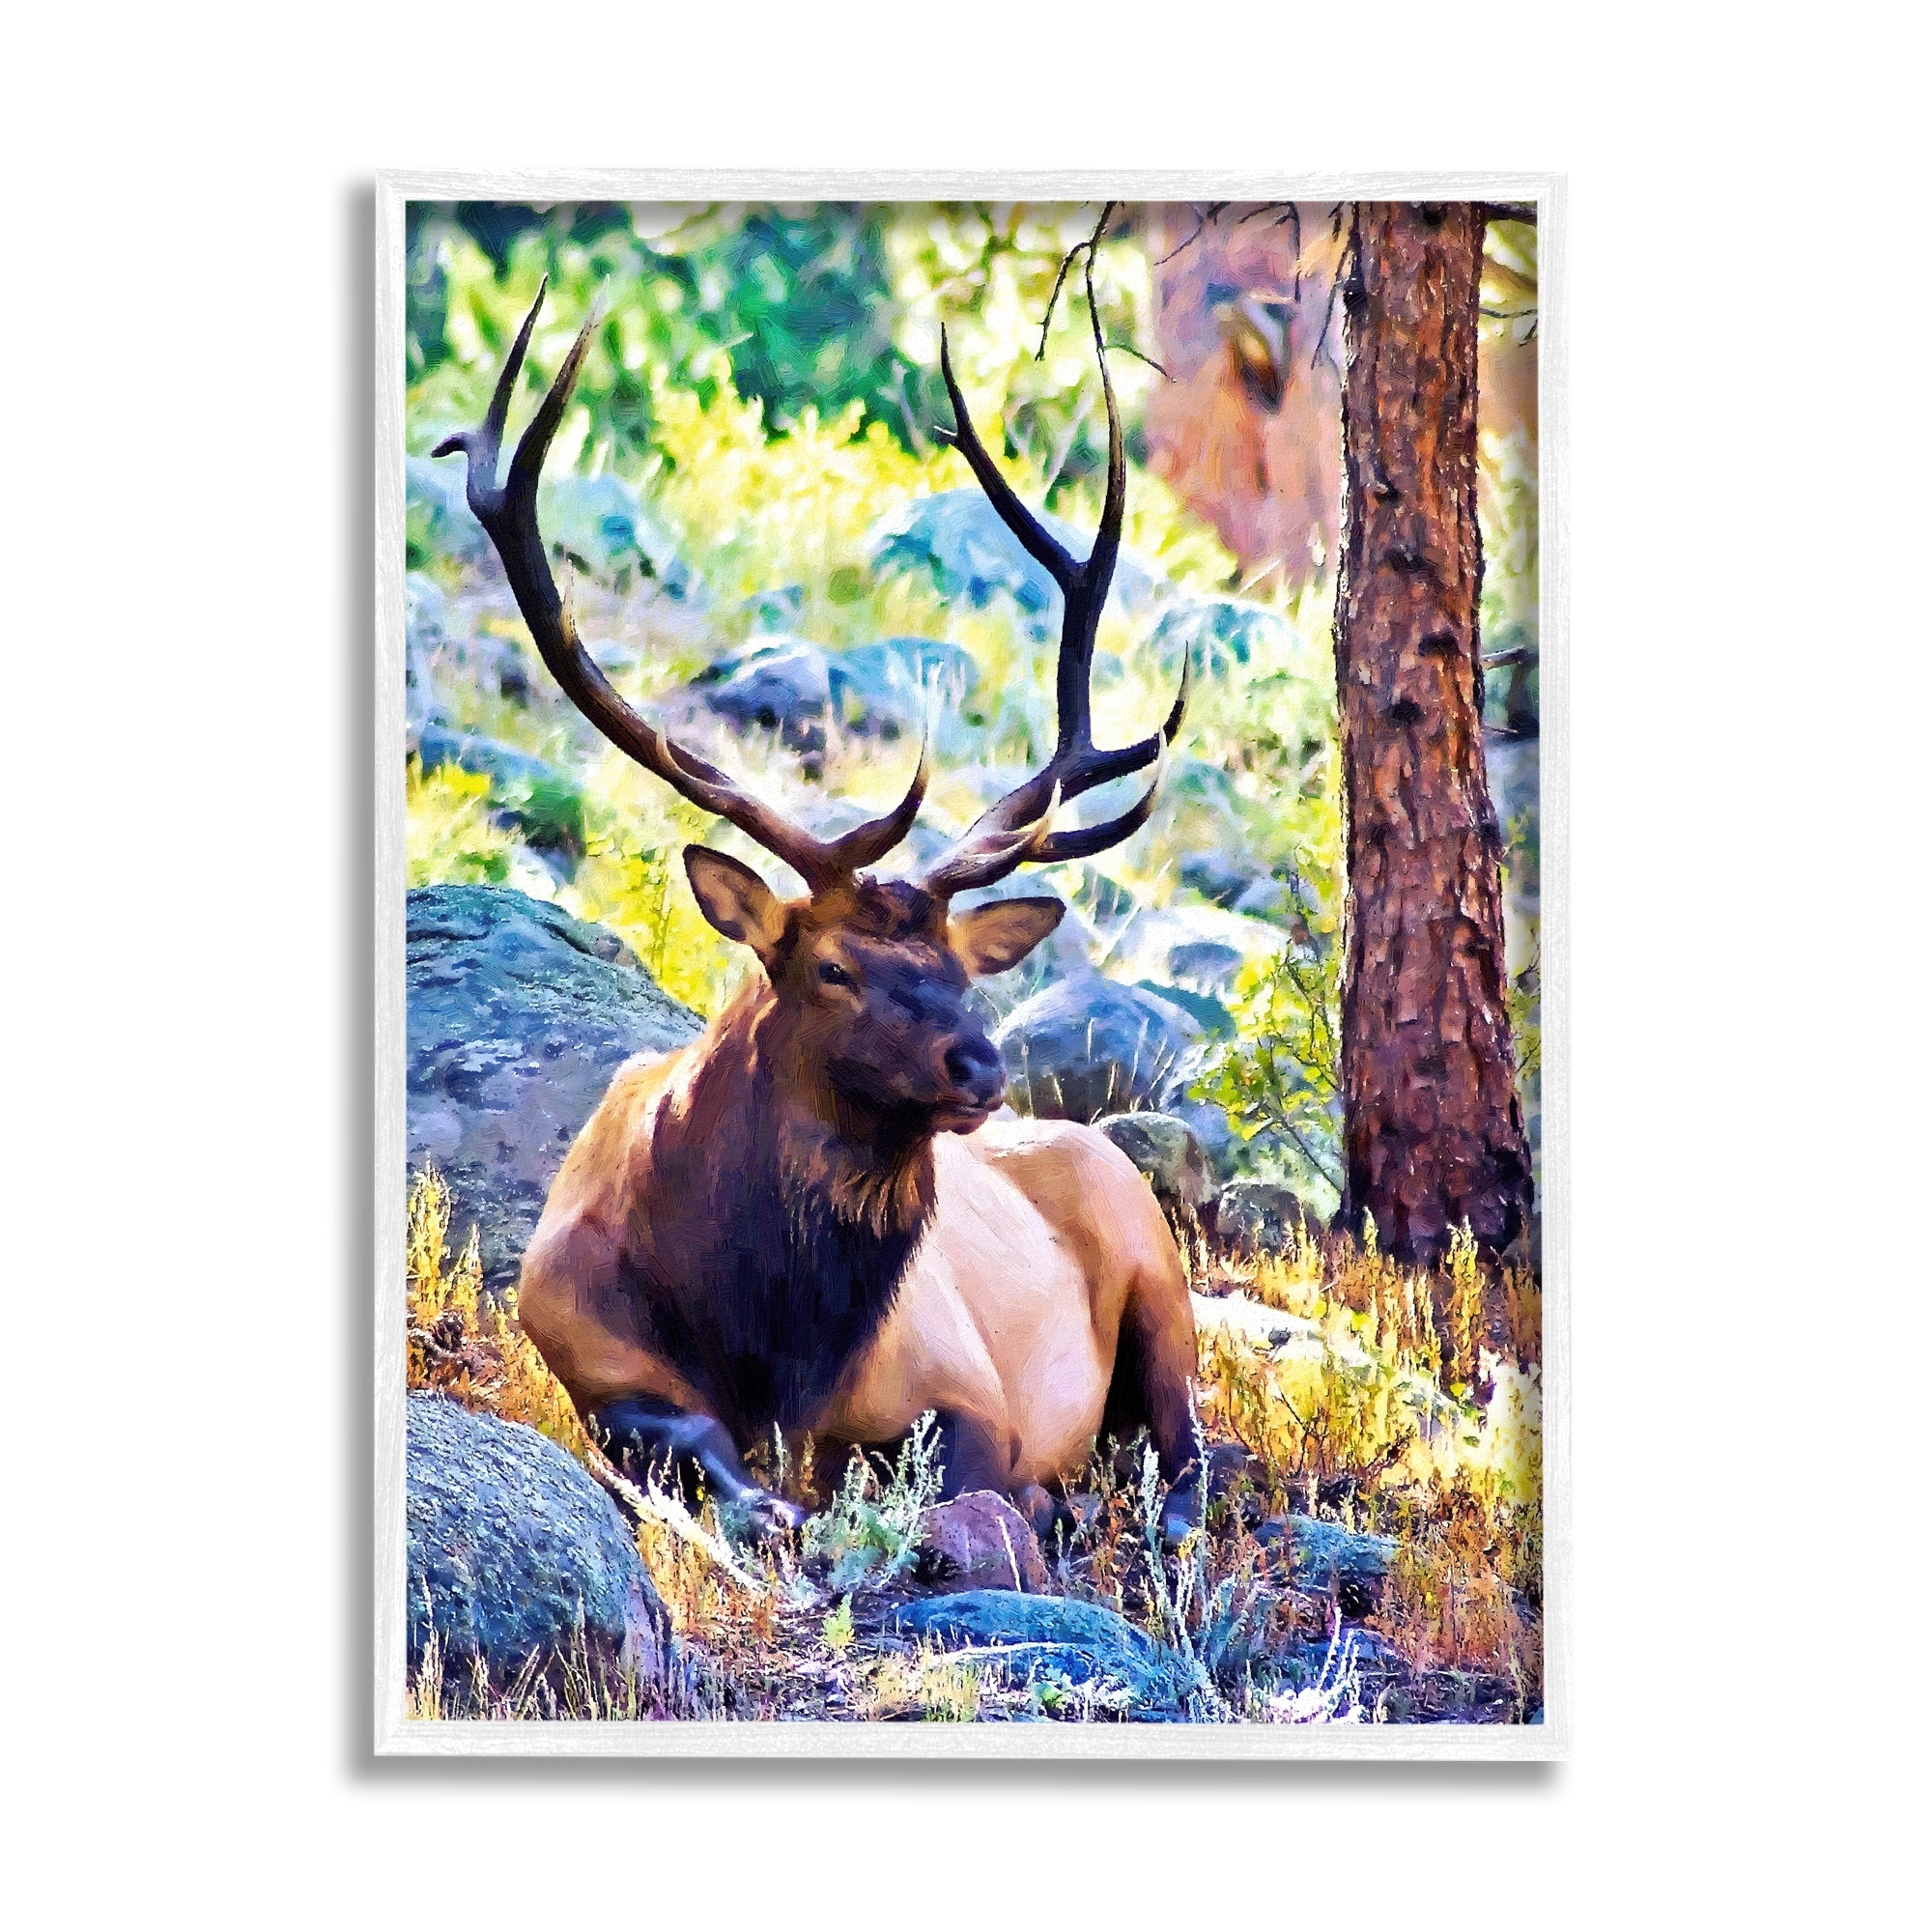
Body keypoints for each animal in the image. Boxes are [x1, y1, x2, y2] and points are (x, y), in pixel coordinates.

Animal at [432, 277, 1203, 1546]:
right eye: (833, 968)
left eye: (962, 972)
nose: (980, 1064)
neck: (768, 1344)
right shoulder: (583, 1353)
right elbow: (698, 1448)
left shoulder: (965, 1386)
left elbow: (973, 1471)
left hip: (1157, 1265)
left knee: (1191, 1453)